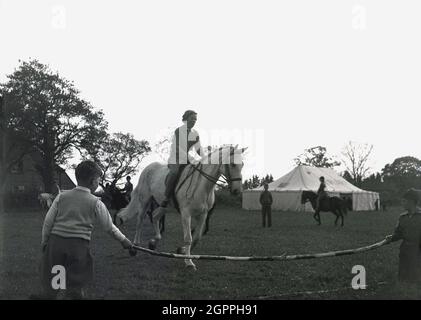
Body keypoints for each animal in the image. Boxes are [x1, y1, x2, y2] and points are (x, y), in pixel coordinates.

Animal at [116, 145, 246, 270]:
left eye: (243, 164)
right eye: (233, 164)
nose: (237, 190)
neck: (202, 186)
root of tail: (147, 168)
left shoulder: (203, 214)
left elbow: (197, 237)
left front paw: (182, 251)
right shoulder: (186, 214)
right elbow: (188, 238)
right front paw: (189, 262)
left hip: (165, 206)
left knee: (155, 216)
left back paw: (153, 242)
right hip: (145, 200)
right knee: (140, 221)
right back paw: (134, 247)